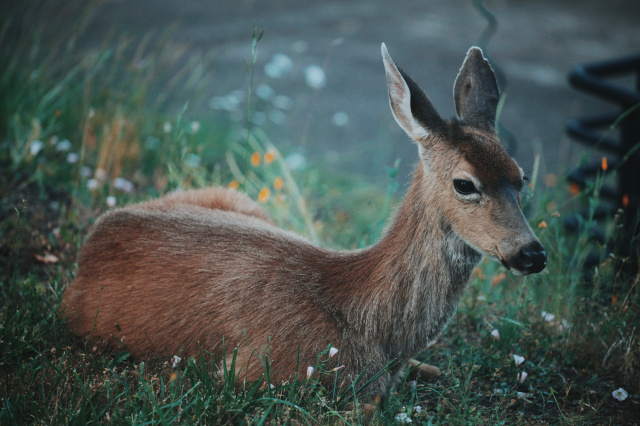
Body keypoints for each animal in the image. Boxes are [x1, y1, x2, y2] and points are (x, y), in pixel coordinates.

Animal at [62, 45, 548, 402]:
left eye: (521, 177)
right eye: (465, 184)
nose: (532, 252)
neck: (367, 322)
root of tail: (93, 239)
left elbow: (430, 370)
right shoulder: (255, 370)